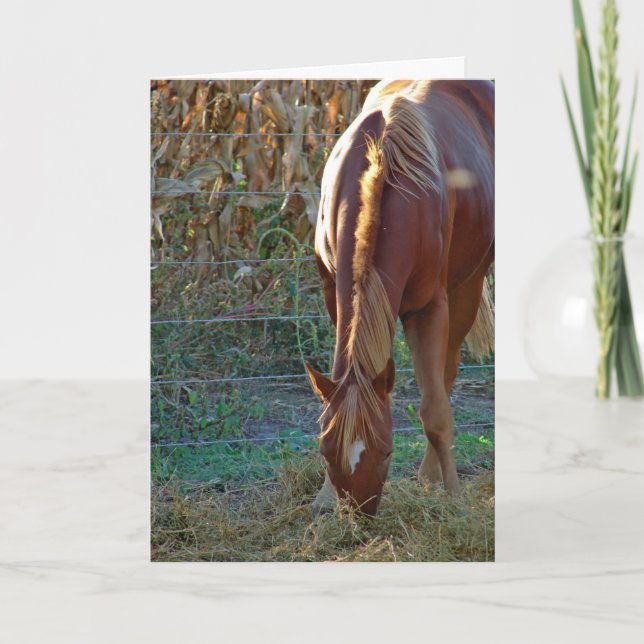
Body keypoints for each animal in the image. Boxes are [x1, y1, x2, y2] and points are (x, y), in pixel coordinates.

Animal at [305, 80, 494, 516]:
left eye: (388, 452)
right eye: (326, 453)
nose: (359, 516)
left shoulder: (429, 308)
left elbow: (435, 409)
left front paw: (454, 497)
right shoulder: (332, 293)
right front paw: (324, 497)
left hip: (468, 287)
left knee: (445, 377)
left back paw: (430, 477)